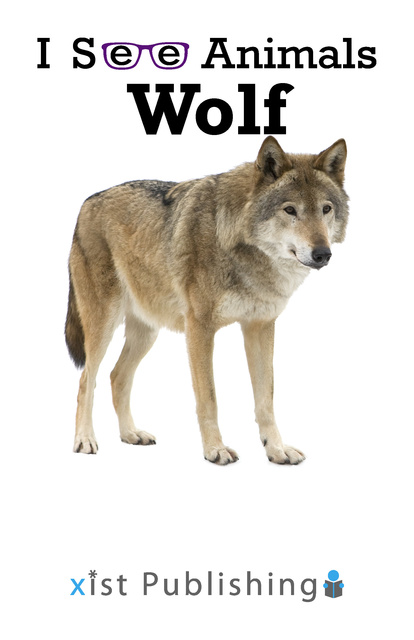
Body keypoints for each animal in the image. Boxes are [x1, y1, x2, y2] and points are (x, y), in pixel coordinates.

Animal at [65, 136, 348, 464]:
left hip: (147, 332)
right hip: (103, 324)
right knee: (87, 379)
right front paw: (216, 449)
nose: (323, 254)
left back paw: (131, 434)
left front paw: (276, 449)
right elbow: (209, 398)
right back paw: (85, 439)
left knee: (116, 376)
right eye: (290, 210)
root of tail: (87, 202)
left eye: (326, 209)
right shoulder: (199, 328)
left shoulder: (261, 326)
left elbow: (266, 399)